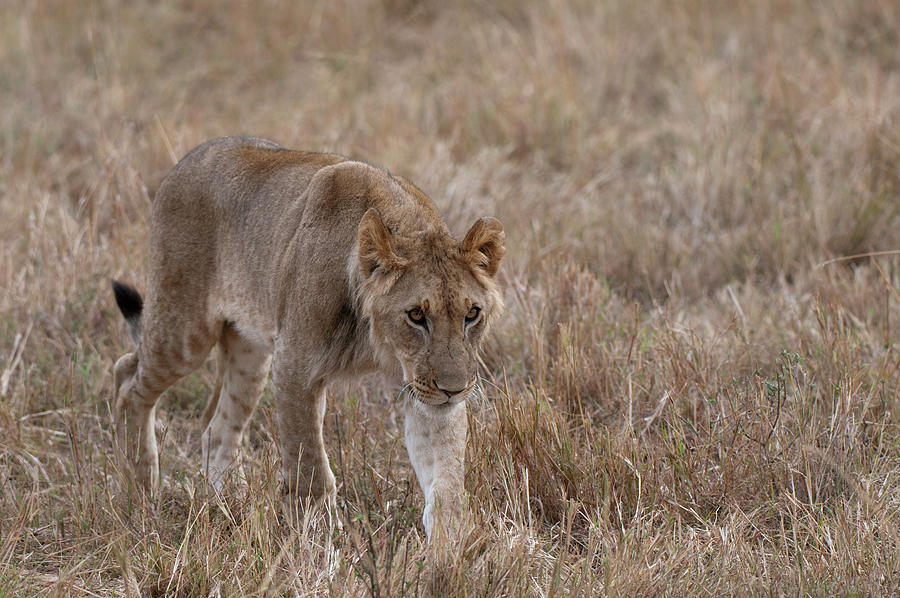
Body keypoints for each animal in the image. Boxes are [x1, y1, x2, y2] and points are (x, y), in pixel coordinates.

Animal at [110, 138, 502, 540]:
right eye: (417, 316)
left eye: (472, 314)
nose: (454, 390)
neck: (375, 340)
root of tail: (185, 160)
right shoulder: (295, 366)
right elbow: (310, 464)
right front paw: (321, 538)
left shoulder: (424, 392)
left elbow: (445, 479)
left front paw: (449, 546)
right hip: (184, 331)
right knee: (128, 378)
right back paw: (142, 492)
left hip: (250, 353)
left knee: (217, 428)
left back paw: (228, 504)